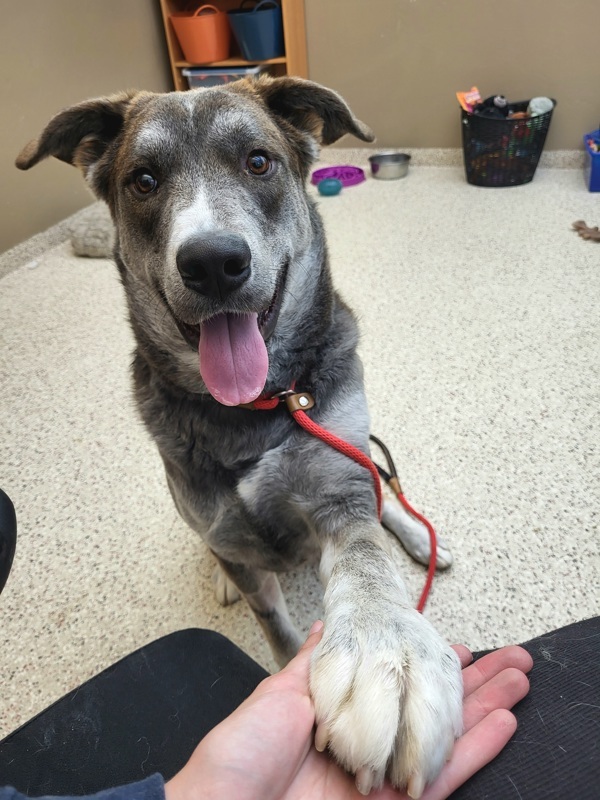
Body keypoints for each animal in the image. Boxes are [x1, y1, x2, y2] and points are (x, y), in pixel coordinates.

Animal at [16, 76, 462, 800]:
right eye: (143, 179)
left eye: (259, 162)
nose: (213, 262)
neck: (253, 407)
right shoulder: (224, 529)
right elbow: (272, 618)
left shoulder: (337, 490)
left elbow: (366, 554)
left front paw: (388, 650)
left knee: (383, 486)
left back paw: (423, 538)